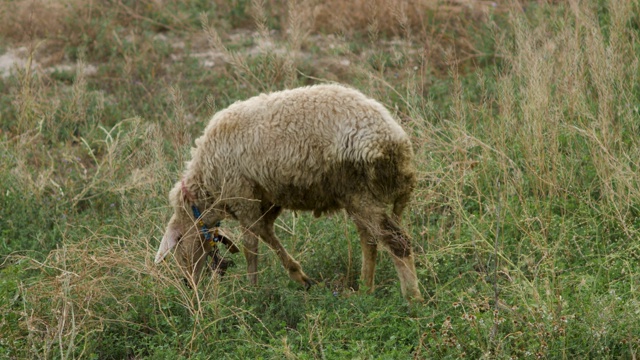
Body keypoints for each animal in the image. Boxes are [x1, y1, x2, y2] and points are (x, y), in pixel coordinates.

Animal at [156, 83, 424, 300]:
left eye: (178, 246)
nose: (188, 285)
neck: (207, 191)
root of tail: (397, 142)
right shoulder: (267, 198)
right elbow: (266, 232)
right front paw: (301, 277)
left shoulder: (242, 194)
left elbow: (250, 246)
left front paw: (251, 291)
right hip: (358, 196)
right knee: (370, 241)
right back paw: (365, 290)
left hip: (359, 191)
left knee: (396, 241)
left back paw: (412, 299)